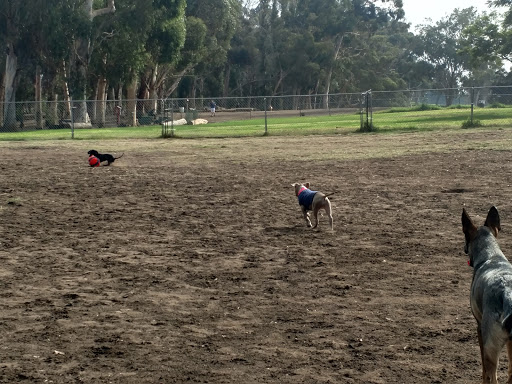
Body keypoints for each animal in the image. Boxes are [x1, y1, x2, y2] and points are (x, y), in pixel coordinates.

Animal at [462, 206, 512, 382]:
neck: (492, 256)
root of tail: (507, 295)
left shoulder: (479, 328)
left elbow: (484, 370)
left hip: (491, 348)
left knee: (492, 376)